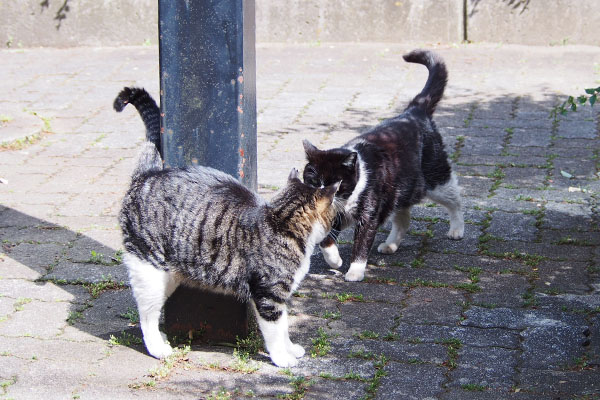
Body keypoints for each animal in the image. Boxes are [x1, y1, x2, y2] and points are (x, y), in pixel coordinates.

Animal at [112, 86, 338, 366]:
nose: (335, 225)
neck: (280, 222)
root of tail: (147, 174)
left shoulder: (277, 296)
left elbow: (284, 327)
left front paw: (291, 348)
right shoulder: (269, 295)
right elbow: (275, 332)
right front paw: (282, 359)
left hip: (169, 276)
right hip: (149, 271)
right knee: (147, 315)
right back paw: (158, 348)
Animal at [304, 49, 464, 282]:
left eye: (337, 184)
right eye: (314, 181)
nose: (322, 195)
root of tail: (414, 110)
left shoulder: (369, 215)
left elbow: (361, 245)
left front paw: (355, 271)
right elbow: (326, 239)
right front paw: (334, 260)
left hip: (435, 178)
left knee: (455, 198)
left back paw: (457, 229)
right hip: (400, 190)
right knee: (403, 218)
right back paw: (390, 245)